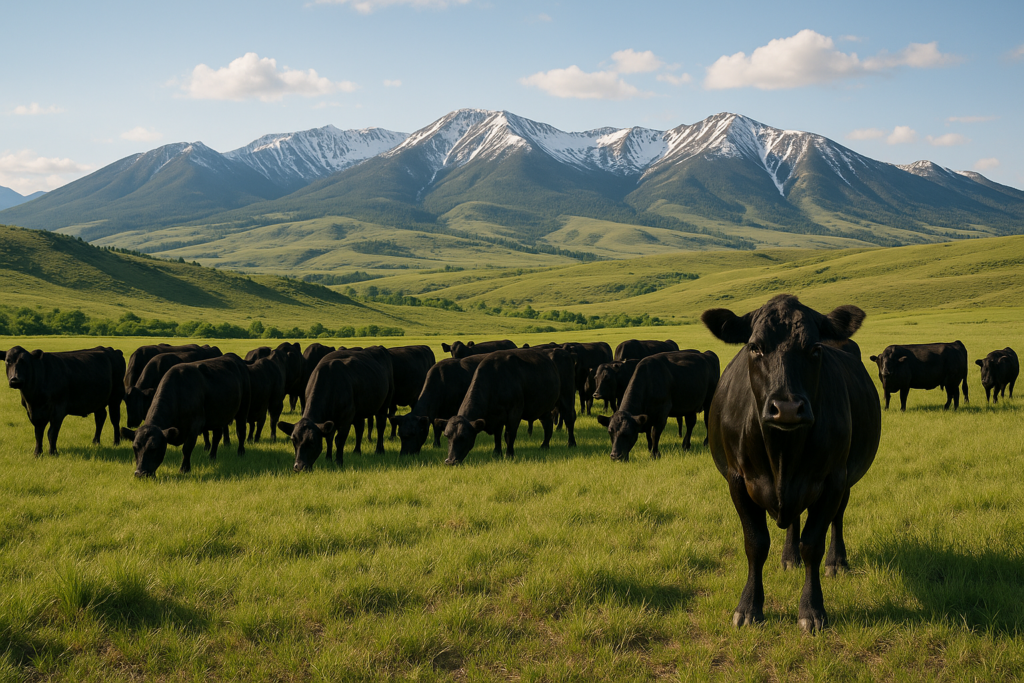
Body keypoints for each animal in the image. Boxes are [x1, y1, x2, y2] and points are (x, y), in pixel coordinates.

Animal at [121, 353, 251, 477]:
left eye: (153, 448)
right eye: (135, 448)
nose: (140, 473)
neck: (179, 393)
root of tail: (234, 358)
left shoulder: (195, 425)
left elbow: (187, 448)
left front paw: (184, 469)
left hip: (243, 410)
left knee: (241, 432)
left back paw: (241, 453)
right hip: (218, 417)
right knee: (217, 436)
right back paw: (212, 456)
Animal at [436, 347, 576, 465]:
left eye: (463, 437)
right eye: (447, 436)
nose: (450, 461)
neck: (495, 380)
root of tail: (562, 351)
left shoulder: (515, 412)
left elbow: (509, 435)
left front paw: (509, 455)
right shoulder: (497, 416)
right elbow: (497, 436)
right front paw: (496, 453)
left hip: (567, 395)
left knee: (569, 419)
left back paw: (571, 443)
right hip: (544, 407)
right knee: (547, 424)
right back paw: (544, 445)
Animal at [701, 294, 880, 632]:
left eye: (814, 348)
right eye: (755, 347)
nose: (786, 408)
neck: (782, 453)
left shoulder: (833, 479)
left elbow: (813, 544)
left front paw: (812, 609)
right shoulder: (737, 479)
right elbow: (756, 543)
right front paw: (749, 607)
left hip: (847, 477)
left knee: (837, 519)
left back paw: (836, 562)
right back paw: (788, 557)